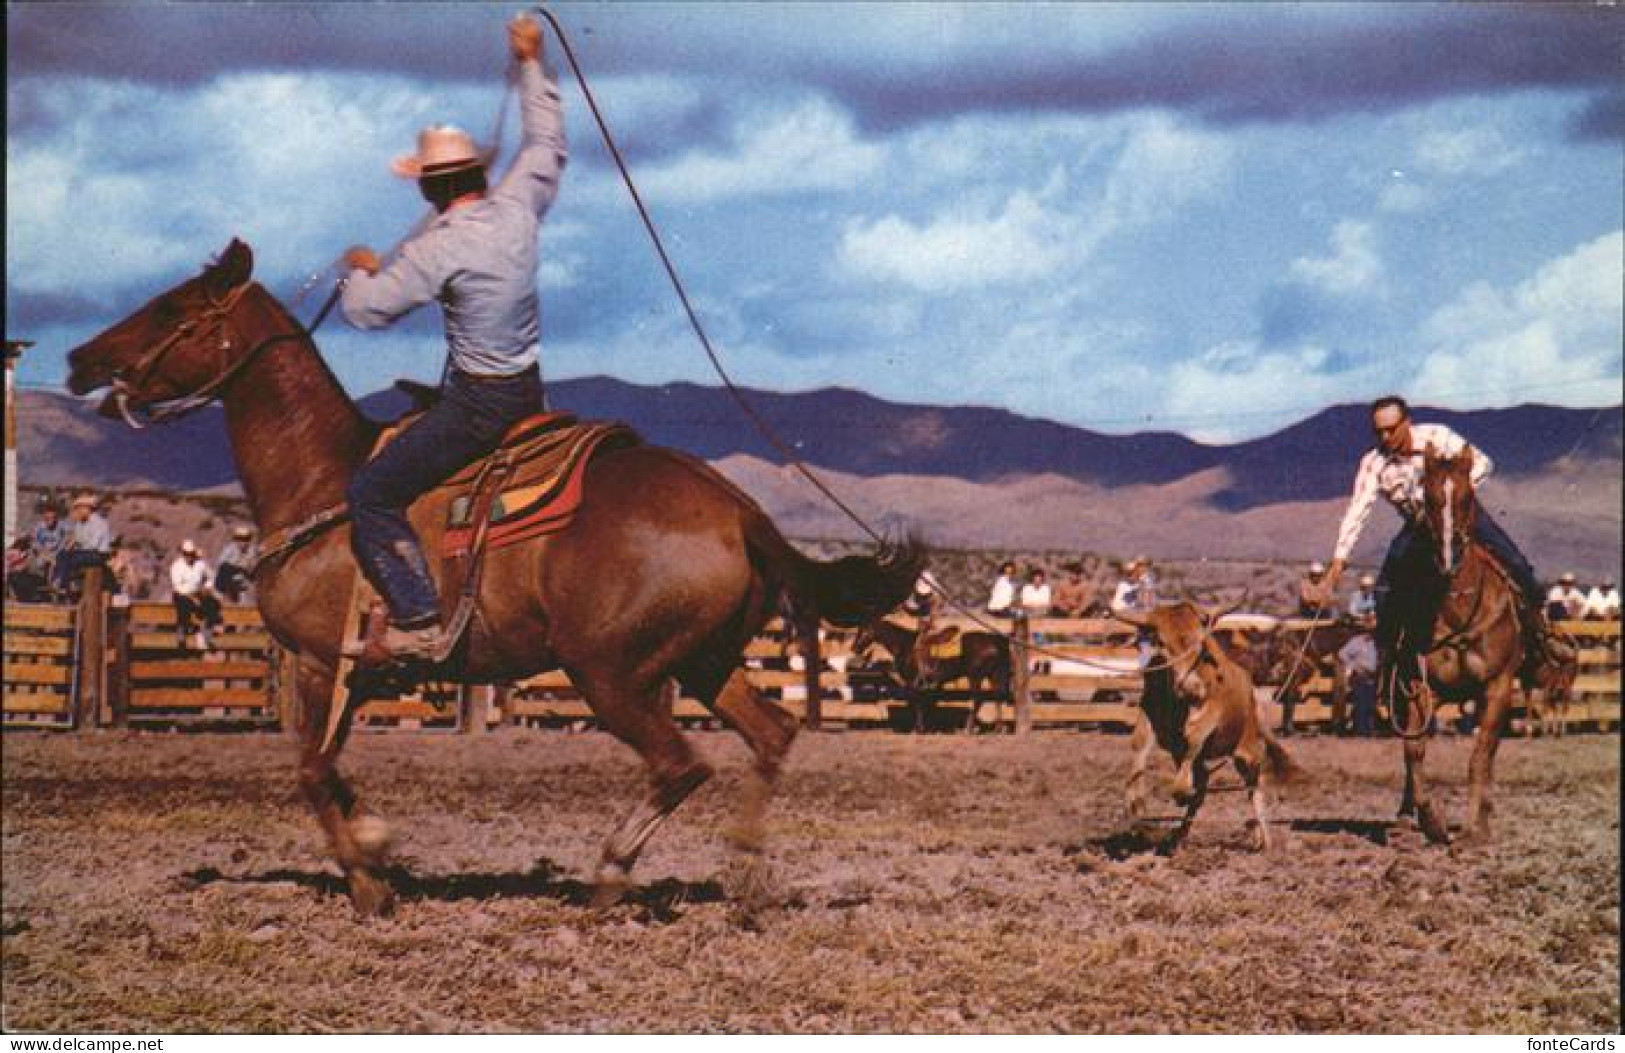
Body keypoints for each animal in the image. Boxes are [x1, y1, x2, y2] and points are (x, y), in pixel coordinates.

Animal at [63, 242, 923, 916]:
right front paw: (377, 850)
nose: (78, 360)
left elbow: (311, 771)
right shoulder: (352, 675)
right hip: (704, 661)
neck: (323, 484)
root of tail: (739, 510)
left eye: (173, 305)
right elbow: (331, 771)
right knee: (771, 735)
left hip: (610, 671)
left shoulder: (320, 662)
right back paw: (742, 877)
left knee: (682, 762)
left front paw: (369, 882)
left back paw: (608, 875)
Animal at [1111, 601, 1300, 858]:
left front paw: (1181, 793)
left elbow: (1194, 738)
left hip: (1248, 752)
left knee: (1254, 787)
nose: (1192, 687)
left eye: (1201, 642)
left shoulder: (1212, 713)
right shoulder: (1149, 710)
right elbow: (1139, 745)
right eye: (1161, 642)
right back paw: (1176, 839)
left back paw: (1263, 838)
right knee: (1203, 784)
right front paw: (1135, 803)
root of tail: (1253, 700)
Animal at [1391, 448, 1527, 845]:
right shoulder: (1421, 687)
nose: (1448, 559)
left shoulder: (1497, 688)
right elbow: (1414, 750)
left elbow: (1480, 755)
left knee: (1490, 750)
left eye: (1467, 498)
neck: (1458, 609)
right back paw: (1405, 818)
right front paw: (1432, 821)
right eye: (1429, 498)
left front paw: (1474, 826)